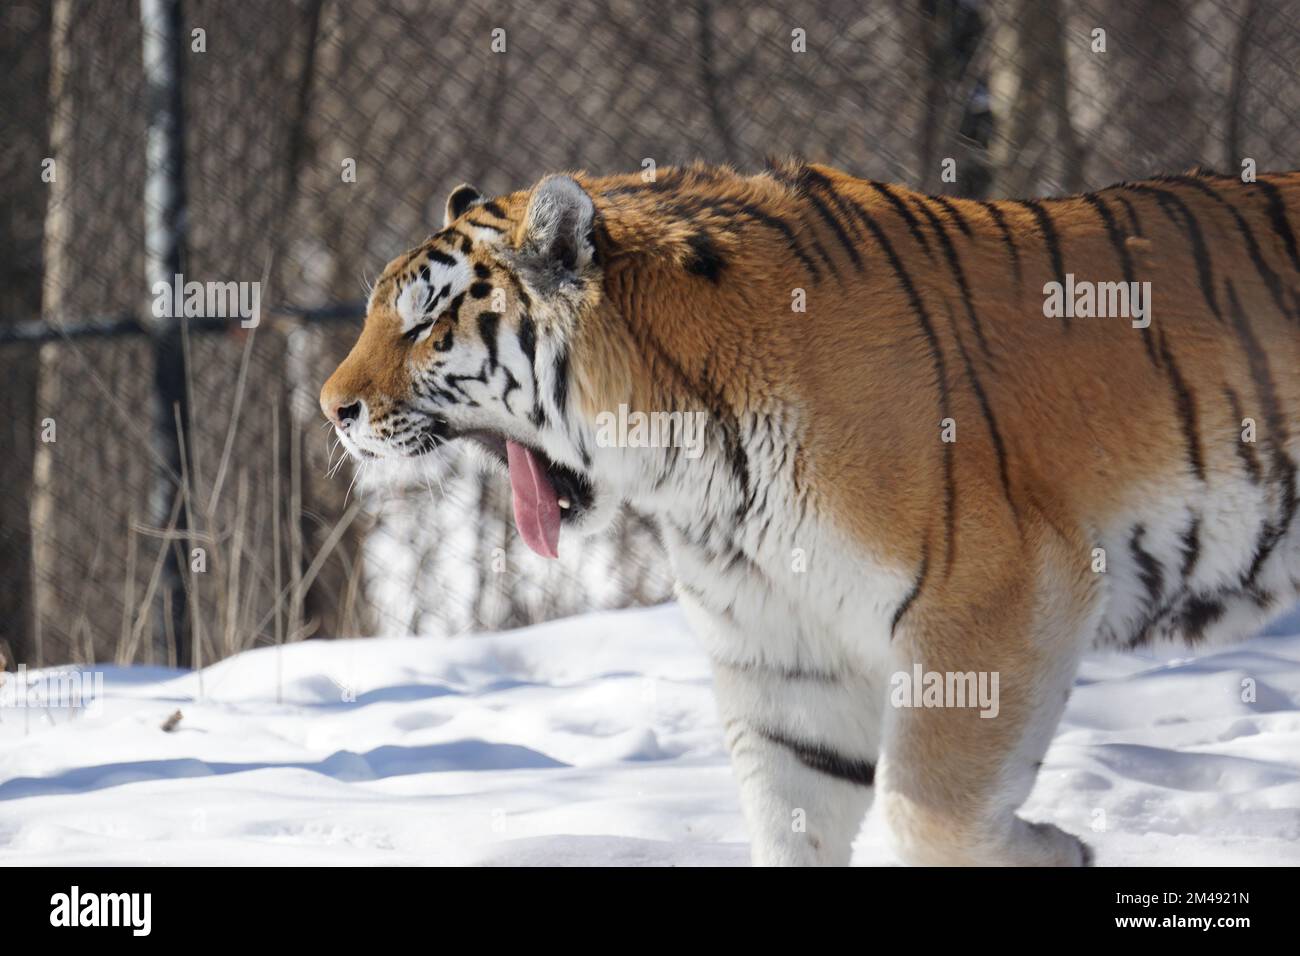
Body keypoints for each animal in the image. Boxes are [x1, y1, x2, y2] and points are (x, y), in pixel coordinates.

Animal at [319, 158, 1300, 868]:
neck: (693, 469)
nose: (331, 408)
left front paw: (1059, 852)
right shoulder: (786, 655)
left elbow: (929, 810)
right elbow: (794, 819)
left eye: (424, 322)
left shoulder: (998, 595)